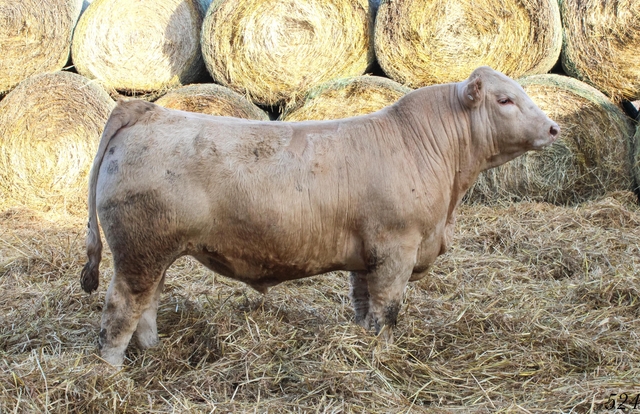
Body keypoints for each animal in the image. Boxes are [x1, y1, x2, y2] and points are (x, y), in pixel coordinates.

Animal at [81, 66, 559, 366]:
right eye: (505, 99)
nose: (554, 128)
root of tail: (147, 109)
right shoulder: (396, 250)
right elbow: (387, 313)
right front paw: (383, 357)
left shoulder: (367, 258)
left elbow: (364, 308)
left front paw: (362, 347)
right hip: (140, 250)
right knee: (121, 310)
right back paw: (111, 373)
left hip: (154, 253)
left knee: (147, 306)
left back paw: (154, 352)